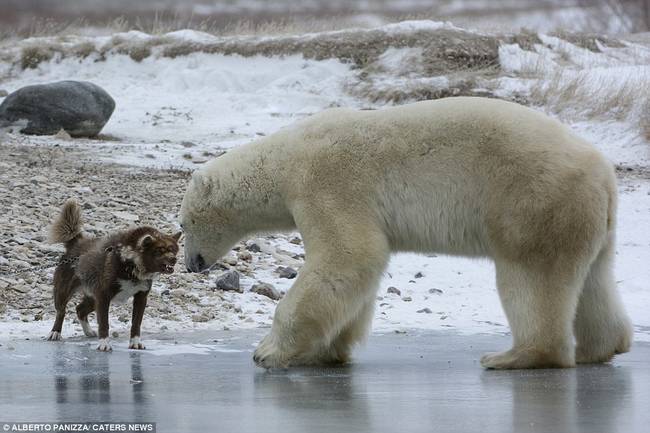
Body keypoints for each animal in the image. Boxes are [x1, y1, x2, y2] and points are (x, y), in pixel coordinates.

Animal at [46, 199, 180, 352]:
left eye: (173, 250)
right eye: (160, 250)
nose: (174, 259)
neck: (130, 264)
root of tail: (76, 242)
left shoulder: (140, 297)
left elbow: (136, 323)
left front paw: (135, 342)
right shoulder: (104, 296)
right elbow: (104, 323)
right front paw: (104, 343)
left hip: (93, 297)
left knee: (80, 310)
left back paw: (88, 331)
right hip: (64, 291)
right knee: (61, 311)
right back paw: (55, 332)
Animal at [180, 97, 632, 368]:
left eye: (183, 224)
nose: (190, 264)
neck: (286, 158)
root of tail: (604, 174)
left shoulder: (328, 183)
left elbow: (348, 257)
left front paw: (267, 351)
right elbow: (357, 275)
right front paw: (326, 351)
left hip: (532, 202)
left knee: (530, 277)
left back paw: (514, 356)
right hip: (586, 218)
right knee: (594, 278)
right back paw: (601, 348)